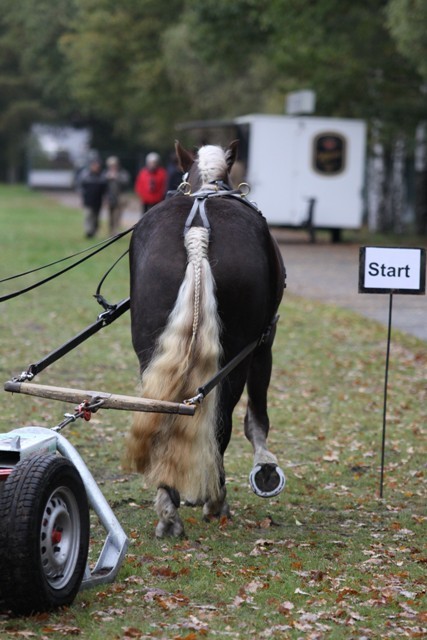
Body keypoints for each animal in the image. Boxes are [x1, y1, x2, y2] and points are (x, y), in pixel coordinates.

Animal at [127, 140, 288, 536]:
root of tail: (198, 233)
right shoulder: (264, 344)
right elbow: (255, 419)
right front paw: (264, 466)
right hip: (238, 354)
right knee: (221, 422)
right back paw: (214, 501)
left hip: (150, 350)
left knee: (161, 407)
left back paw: (167, 505)